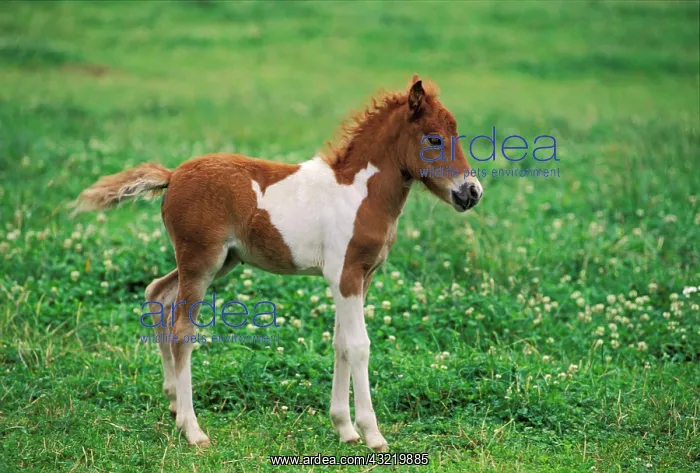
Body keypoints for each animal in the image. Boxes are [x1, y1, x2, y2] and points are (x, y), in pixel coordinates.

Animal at [73, 75, 483, 451]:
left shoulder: (356, 279)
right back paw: (193, 430)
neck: (358, 194)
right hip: (201, 261)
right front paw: (372, 434)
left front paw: (344, 428)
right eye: (434, 140)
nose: (472, 192)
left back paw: (174, 404)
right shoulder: (346, 274)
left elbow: (340, 344)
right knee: (182, 331)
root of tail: (173, 176)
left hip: (219, 261)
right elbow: (359, 346)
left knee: (157, 292)